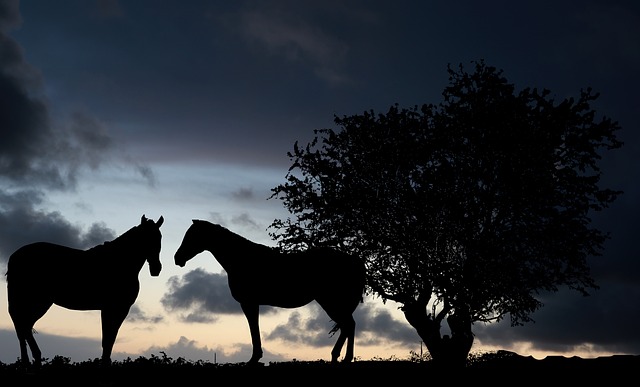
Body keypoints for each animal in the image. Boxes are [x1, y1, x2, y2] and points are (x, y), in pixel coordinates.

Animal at [5, 215, 165, 366]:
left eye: (159, 238)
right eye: (146, 238)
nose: (156, 269)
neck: (119, 263)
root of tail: (15, 257)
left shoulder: (112, 309)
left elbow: (109, 340)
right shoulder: (115, 308)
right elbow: (108, 339)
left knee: (22, 327)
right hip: (39, 302)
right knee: (24, 326)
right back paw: (35, 358)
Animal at [174, 220, 364, 366]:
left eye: (192, 236)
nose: (177, 258)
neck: (241, 259)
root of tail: (354, 260)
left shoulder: (249, 303)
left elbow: (254, 329)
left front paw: (254, 359)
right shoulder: (252, 303)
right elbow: (254, 328)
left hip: (330, 301)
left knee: (348, 325)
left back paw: (340, 358)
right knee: (348, 325)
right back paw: (341, 358)